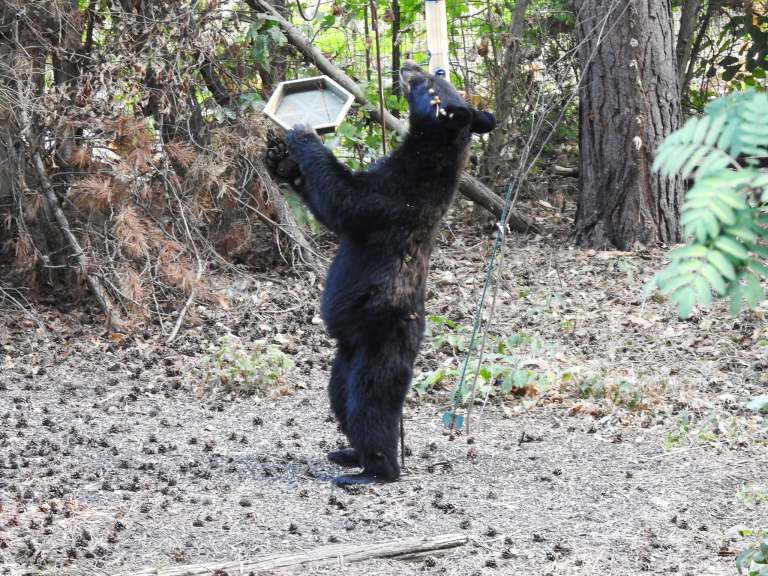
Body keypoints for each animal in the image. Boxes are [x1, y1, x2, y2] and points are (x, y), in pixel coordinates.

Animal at [283, 61, 495, 485]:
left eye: (426, 81)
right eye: (435, 73)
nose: (407, 65)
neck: (429, 153)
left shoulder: (395, 196)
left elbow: (344, 202)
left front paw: (304, 134)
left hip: (379, 347)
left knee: (370, 408)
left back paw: (374, 471)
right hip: (344, 359)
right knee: (340, 400)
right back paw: (349, 453)